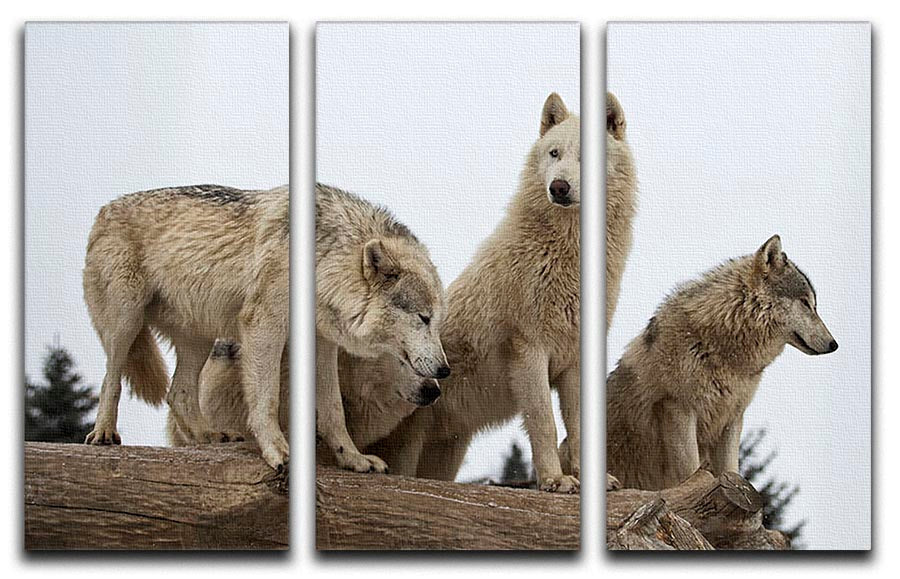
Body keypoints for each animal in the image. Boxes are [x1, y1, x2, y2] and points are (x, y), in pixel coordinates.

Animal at [83, 184, 290, 470]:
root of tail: (106, 208)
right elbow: (268, 397)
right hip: (126, 322)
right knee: (110, 380)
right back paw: (104, 432)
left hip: (200, 341)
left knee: (177, 393)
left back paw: (209, 434)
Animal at [369, 93, 581, 493]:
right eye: (554, 153)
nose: (559, 187)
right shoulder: (529, 349)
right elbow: (544, 423)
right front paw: (555, 481)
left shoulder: (573, 358)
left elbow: (577, 427)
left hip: (448, 451)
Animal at [606, 235, 838, 490]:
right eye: (806, 303)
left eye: (813, 305)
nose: (834, 344)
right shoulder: (677, 409)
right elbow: (691, 473)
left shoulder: (732, 419)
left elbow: (731, 471)